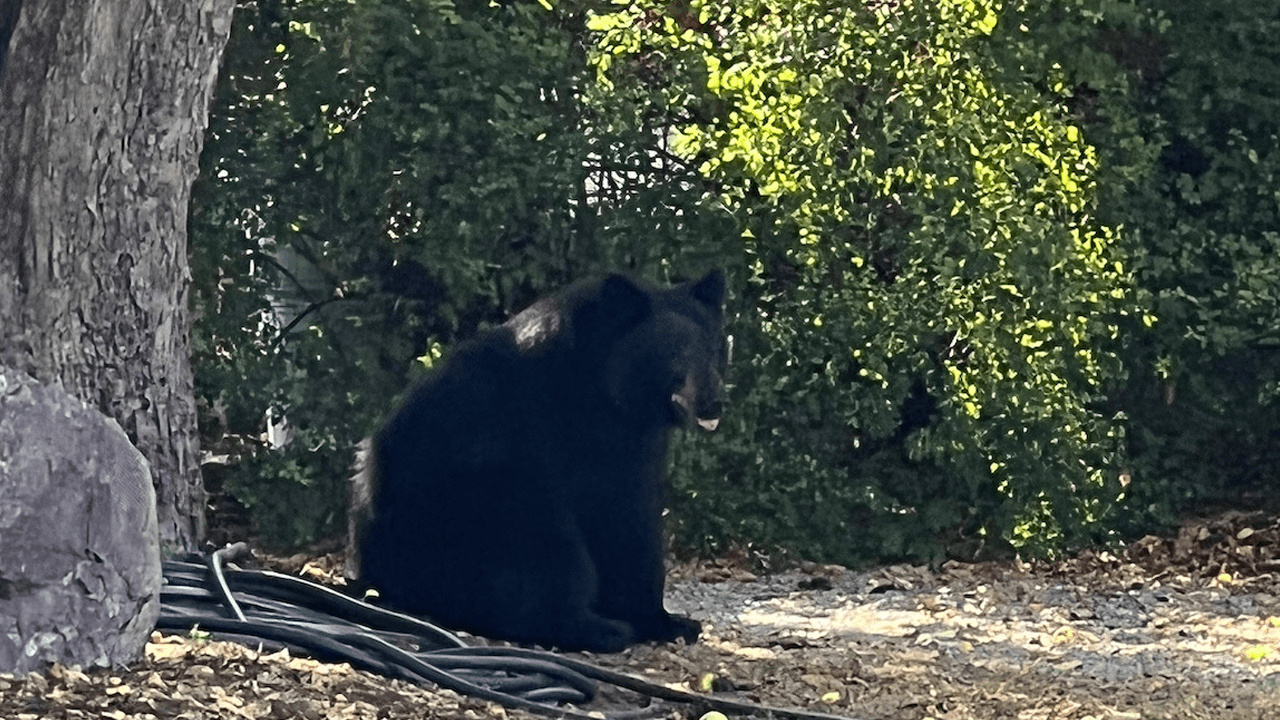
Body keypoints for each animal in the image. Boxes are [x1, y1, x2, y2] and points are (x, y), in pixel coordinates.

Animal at [352, 269, 726, 652]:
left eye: (714, 349)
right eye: (676, 352)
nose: (713, 402)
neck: (606, 395)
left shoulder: (636, 448)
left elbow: (633, 522)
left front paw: (669, 621)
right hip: (465, 511)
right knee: (541, 546)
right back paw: (594, 628)